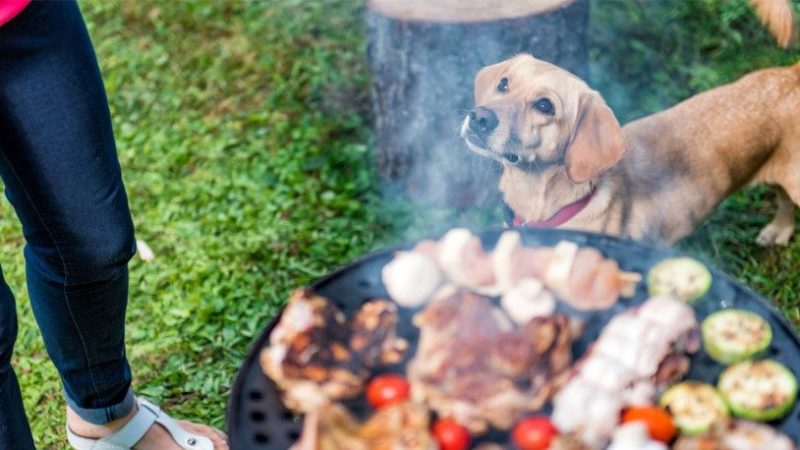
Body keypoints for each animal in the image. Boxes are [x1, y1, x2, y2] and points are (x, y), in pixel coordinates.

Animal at [462, 55, 800, 246]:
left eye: (544, 106)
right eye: (504, 84)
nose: (479, 117)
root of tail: (793, 74)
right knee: (784, 203)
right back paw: (779, 232)